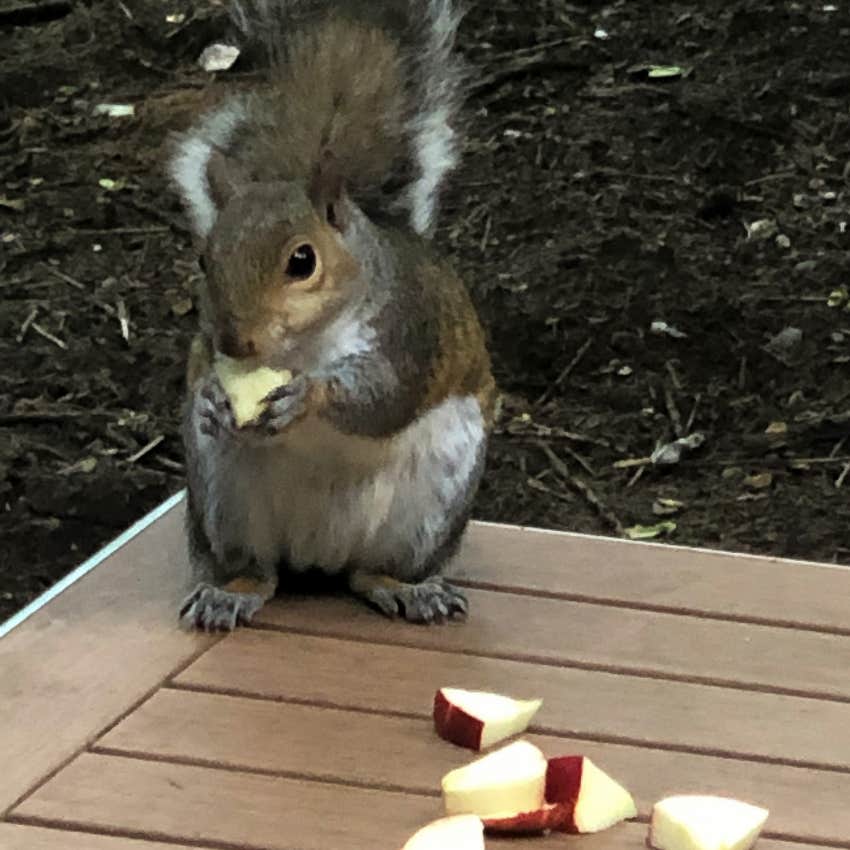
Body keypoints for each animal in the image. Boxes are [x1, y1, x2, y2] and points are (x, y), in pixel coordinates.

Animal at [168, 0, 494, 628]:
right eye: (202, 256)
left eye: (303, 261)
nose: (236, 343)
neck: (302, 345)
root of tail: (316, 554)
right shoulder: (205, 347)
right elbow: (198, 378)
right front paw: (213, 399)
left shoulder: (407, 333)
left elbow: (383, 397)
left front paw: (306, 396)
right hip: (222, 499)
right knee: (258, 569)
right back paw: (232, 591)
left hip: (431, 504)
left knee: (369, 572)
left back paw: (408, 588)